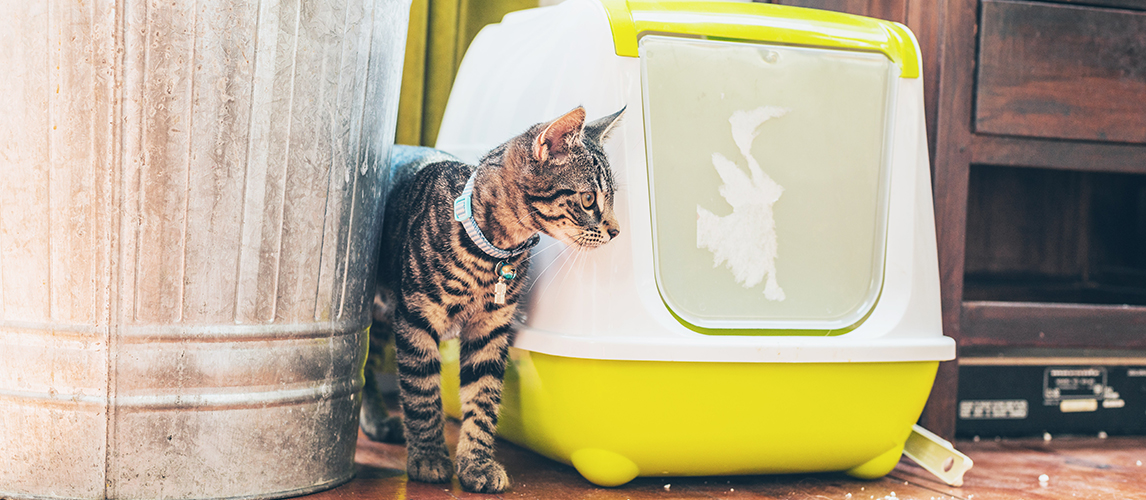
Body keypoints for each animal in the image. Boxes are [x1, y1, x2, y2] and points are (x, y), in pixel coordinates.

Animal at [362, 105, 623, 493]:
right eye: (589, 199)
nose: (616, 230)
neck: (494, 251)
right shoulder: (415, 321)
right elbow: (421, 391)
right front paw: (428, 456)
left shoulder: (490, 331)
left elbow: (482, 399)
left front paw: (476, 463)